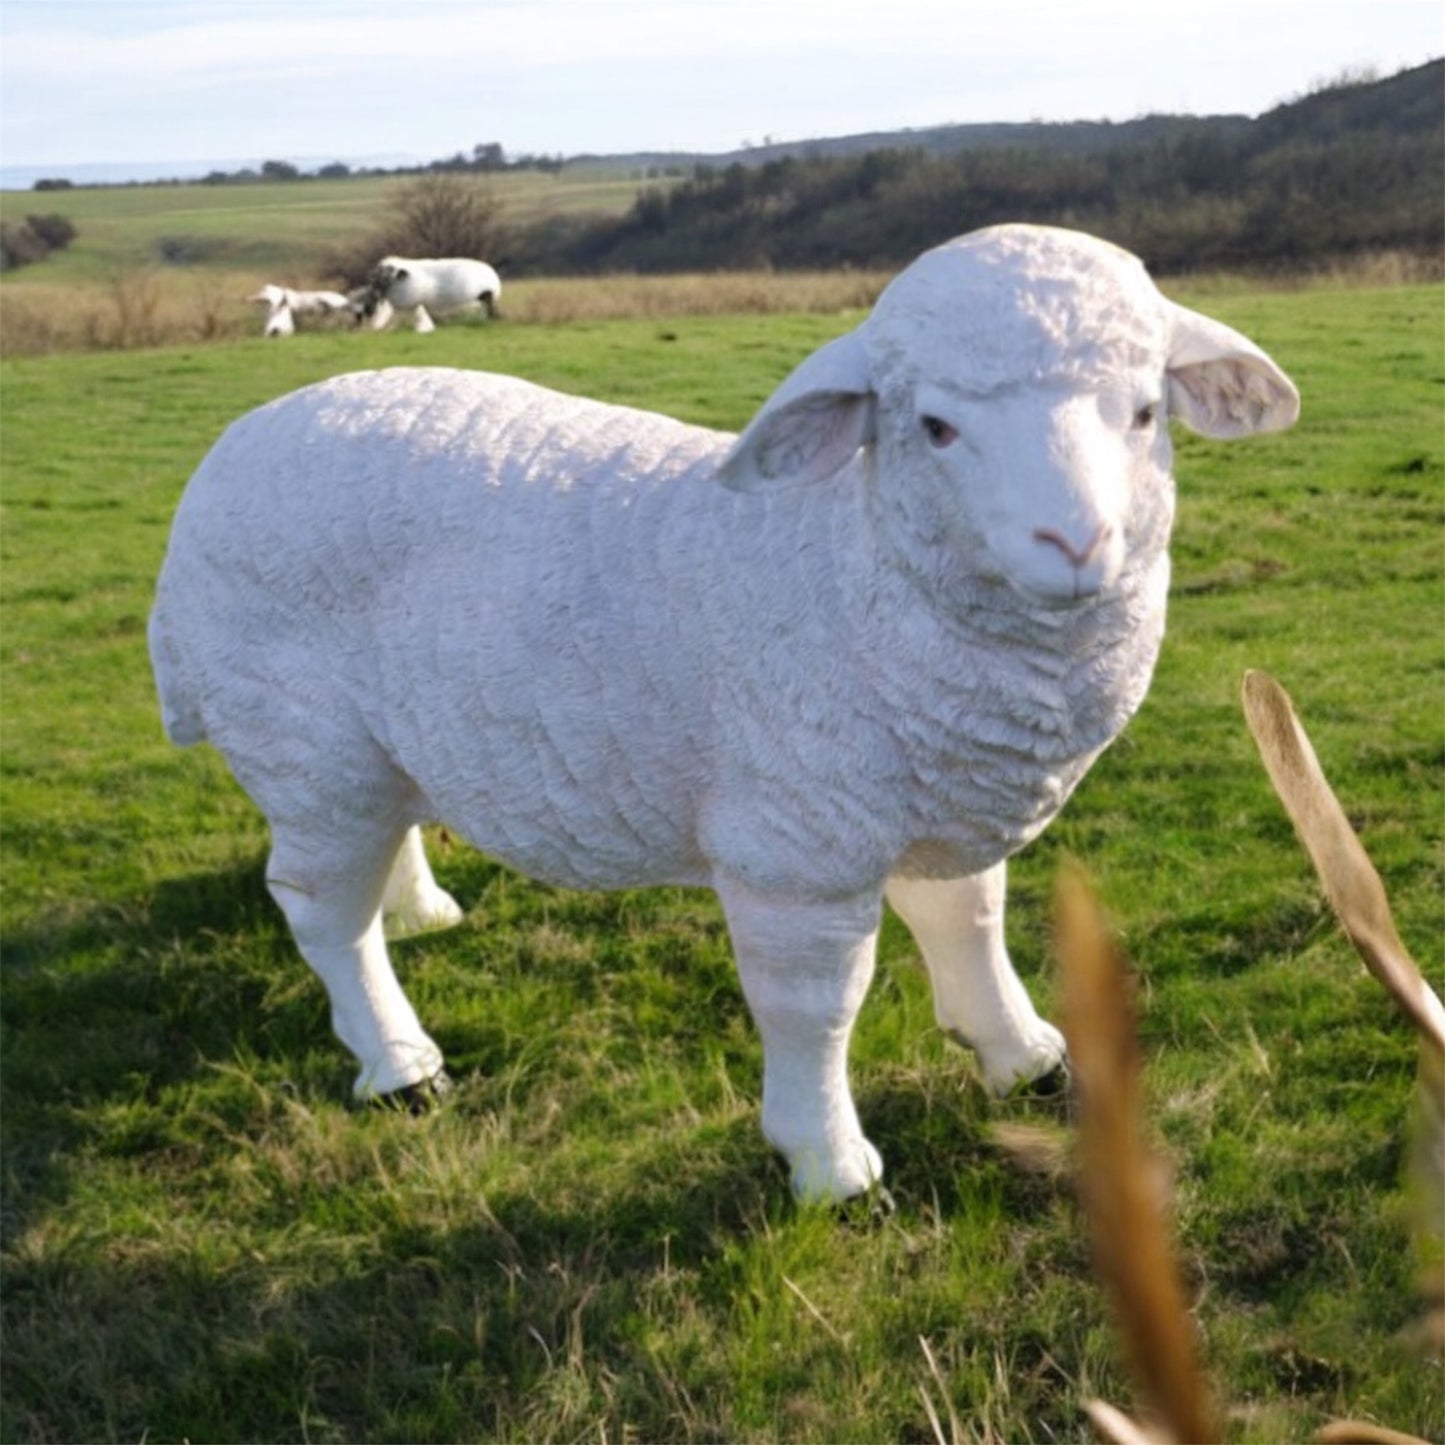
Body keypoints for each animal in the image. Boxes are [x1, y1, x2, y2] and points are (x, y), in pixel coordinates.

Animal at [358, 255, 501, 331]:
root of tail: (492, 277)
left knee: (487, 313)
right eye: (375, 280)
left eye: (386, 277)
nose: (367, 309)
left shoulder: (411, 305)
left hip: (480, 300)